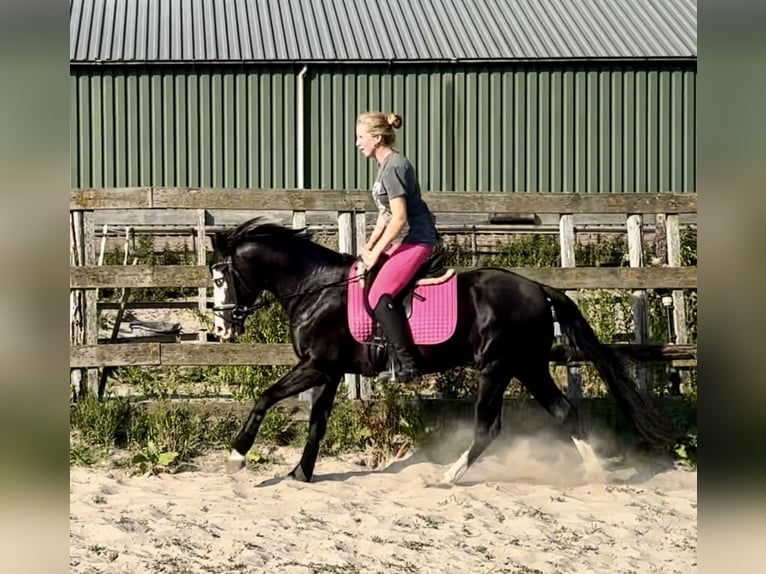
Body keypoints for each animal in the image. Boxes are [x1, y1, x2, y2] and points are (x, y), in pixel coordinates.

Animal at [209, 216, 677, 484]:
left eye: (219, 278)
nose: (221, 326)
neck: (316, 287)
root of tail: (539, 288)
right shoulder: (329, 370)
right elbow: (317, 423)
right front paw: (301, 474)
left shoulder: (315, 365)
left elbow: (265, 398)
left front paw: (236, 458)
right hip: (527, 366)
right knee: (564, 412)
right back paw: (594, 473)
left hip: (497, 366)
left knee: (489, 427)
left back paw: (449, 475)